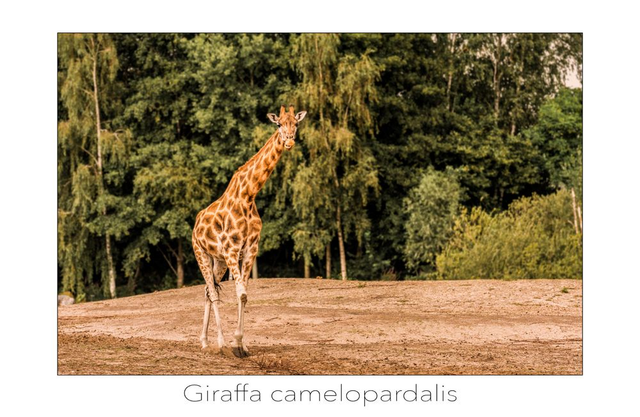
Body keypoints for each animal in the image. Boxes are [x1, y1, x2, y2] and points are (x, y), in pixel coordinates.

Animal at [192, 105, 307, 357]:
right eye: (278, 124)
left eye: (296, 124)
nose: (289, 142)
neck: (248, 195)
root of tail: (196, 223)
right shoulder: (232, 250)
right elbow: (241, 293)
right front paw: (232, 343)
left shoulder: (249, 250)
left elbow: (243, 296)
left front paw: (242, 345)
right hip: (201, 253)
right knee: (212, 292)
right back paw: (219, 343)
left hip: (218, 260)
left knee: (207, 291)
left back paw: (204, 342)